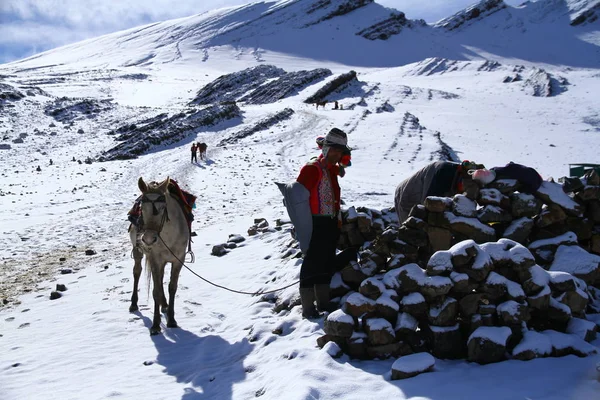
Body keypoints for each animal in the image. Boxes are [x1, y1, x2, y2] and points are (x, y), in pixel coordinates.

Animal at [129, 177, 190, 336]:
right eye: (142, 208)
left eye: (163, 208)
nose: (149, 239)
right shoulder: (156, 259)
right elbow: (155, 291)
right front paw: (156, 325)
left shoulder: (178, 259)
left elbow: (172, 287)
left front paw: (172, 320)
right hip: (138, 250)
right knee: (137, 272)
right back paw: (134, 304)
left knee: (161, 279)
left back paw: (165, 304)